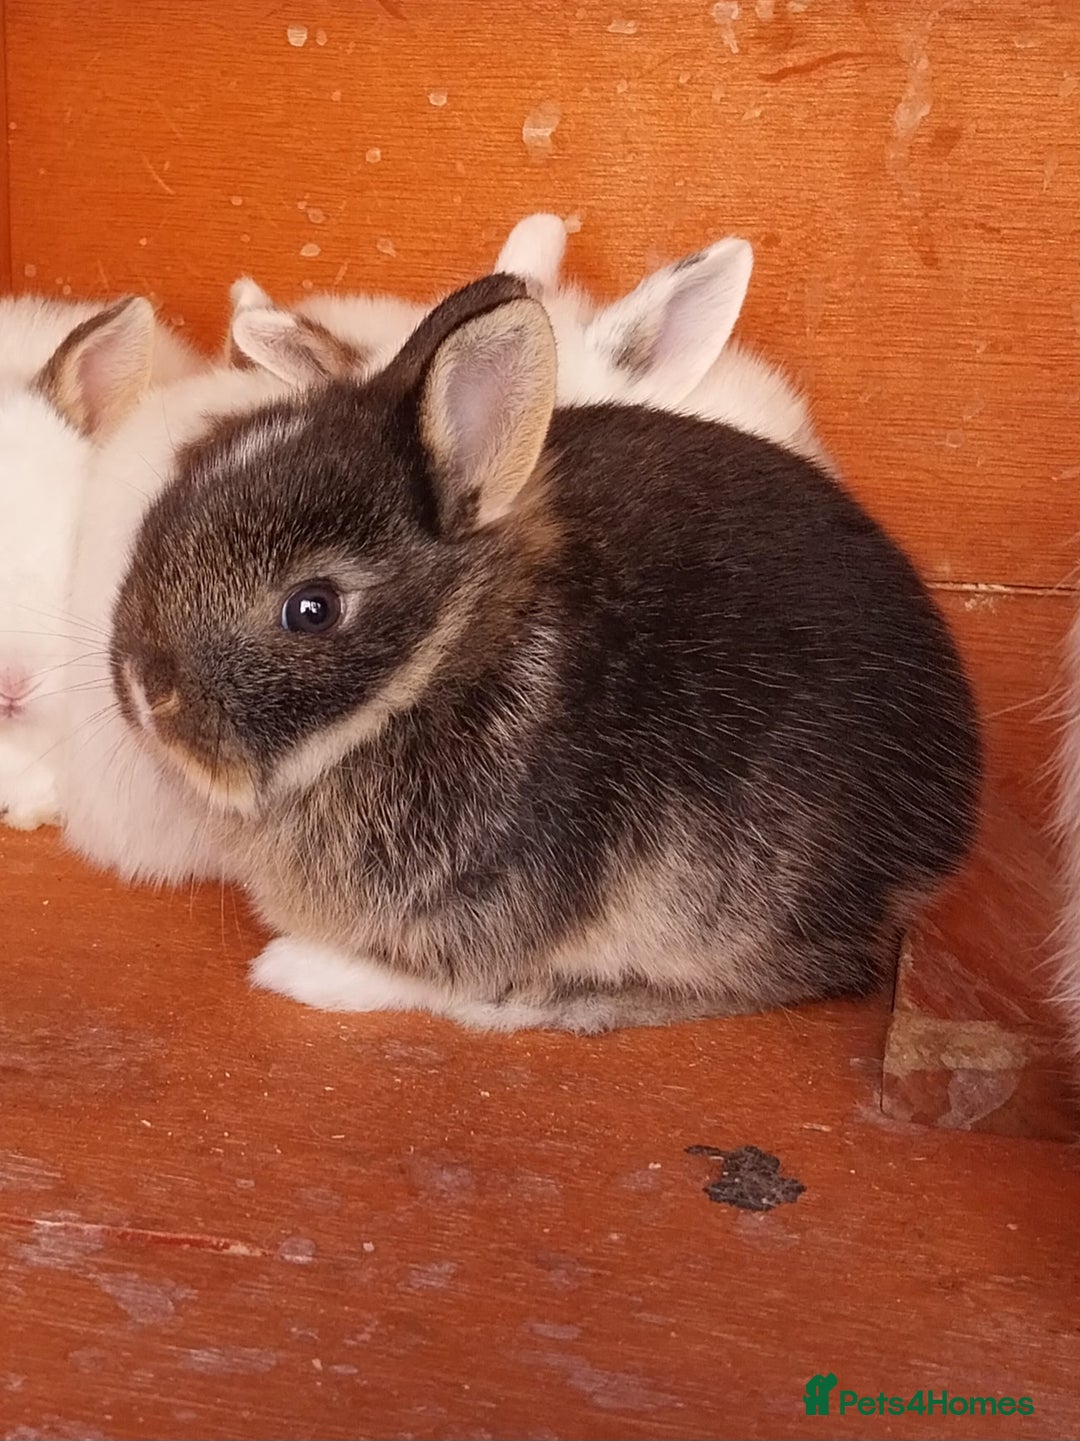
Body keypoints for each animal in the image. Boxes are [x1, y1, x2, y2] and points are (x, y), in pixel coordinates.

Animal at [109, 274, 981, 1033]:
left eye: (312, 608)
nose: (145, 690)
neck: (445, 654)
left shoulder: (488, 907)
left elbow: (439, 974)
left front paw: (302, 970)